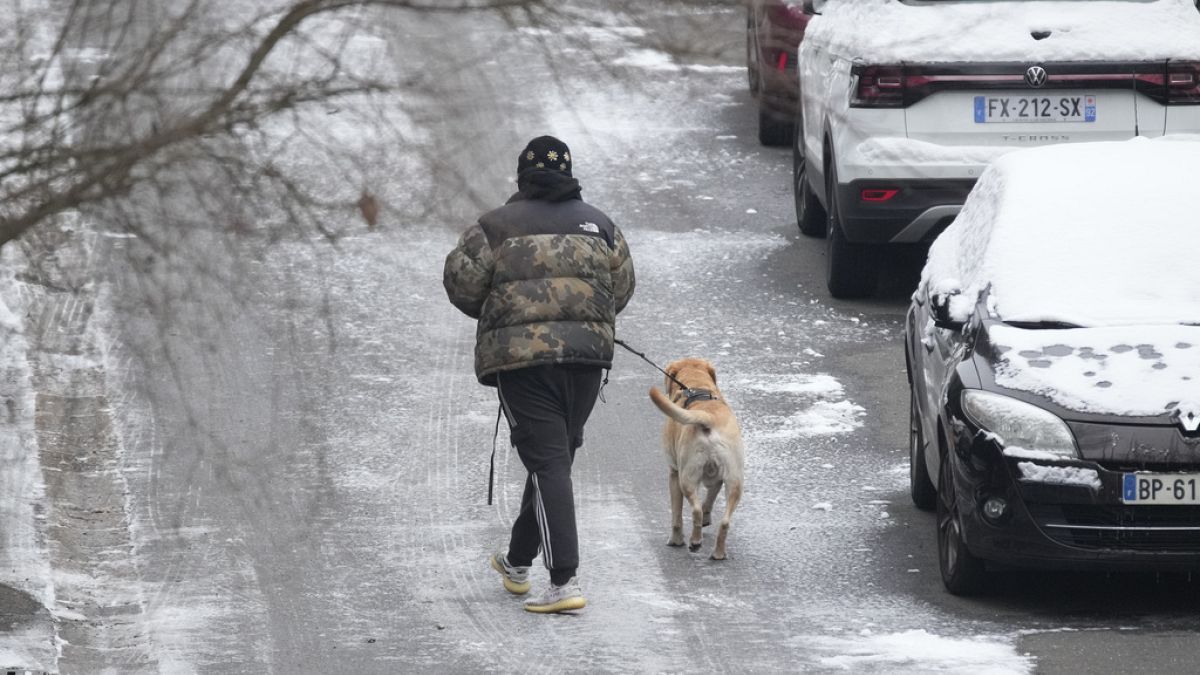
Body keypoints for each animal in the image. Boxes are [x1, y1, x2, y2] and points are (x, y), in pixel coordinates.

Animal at [652, 357, 744, 557]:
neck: (697, 386)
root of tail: (708, 417)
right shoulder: (717, 480)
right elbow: (709, 500)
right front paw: (707, 518)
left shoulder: (674, 473)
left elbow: (677, 515)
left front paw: (676, 540)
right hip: (735, 481)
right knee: (724, 521)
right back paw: (718, 553)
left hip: (686, 478)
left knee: (695, 511)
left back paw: (695, 542)